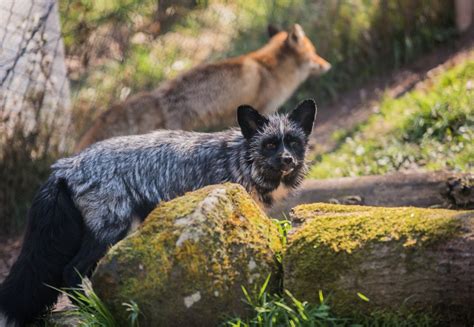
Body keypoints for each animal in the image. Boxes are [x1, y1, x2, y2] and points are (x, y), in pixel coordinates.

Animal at [0, 100, 318, 327]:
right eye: (269, 144)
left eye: (293, 142)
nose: (287, 160)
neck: (239, 158)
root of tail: (65, 165)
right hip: (111, 227)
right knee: (71, 270)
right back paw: (94, 311)